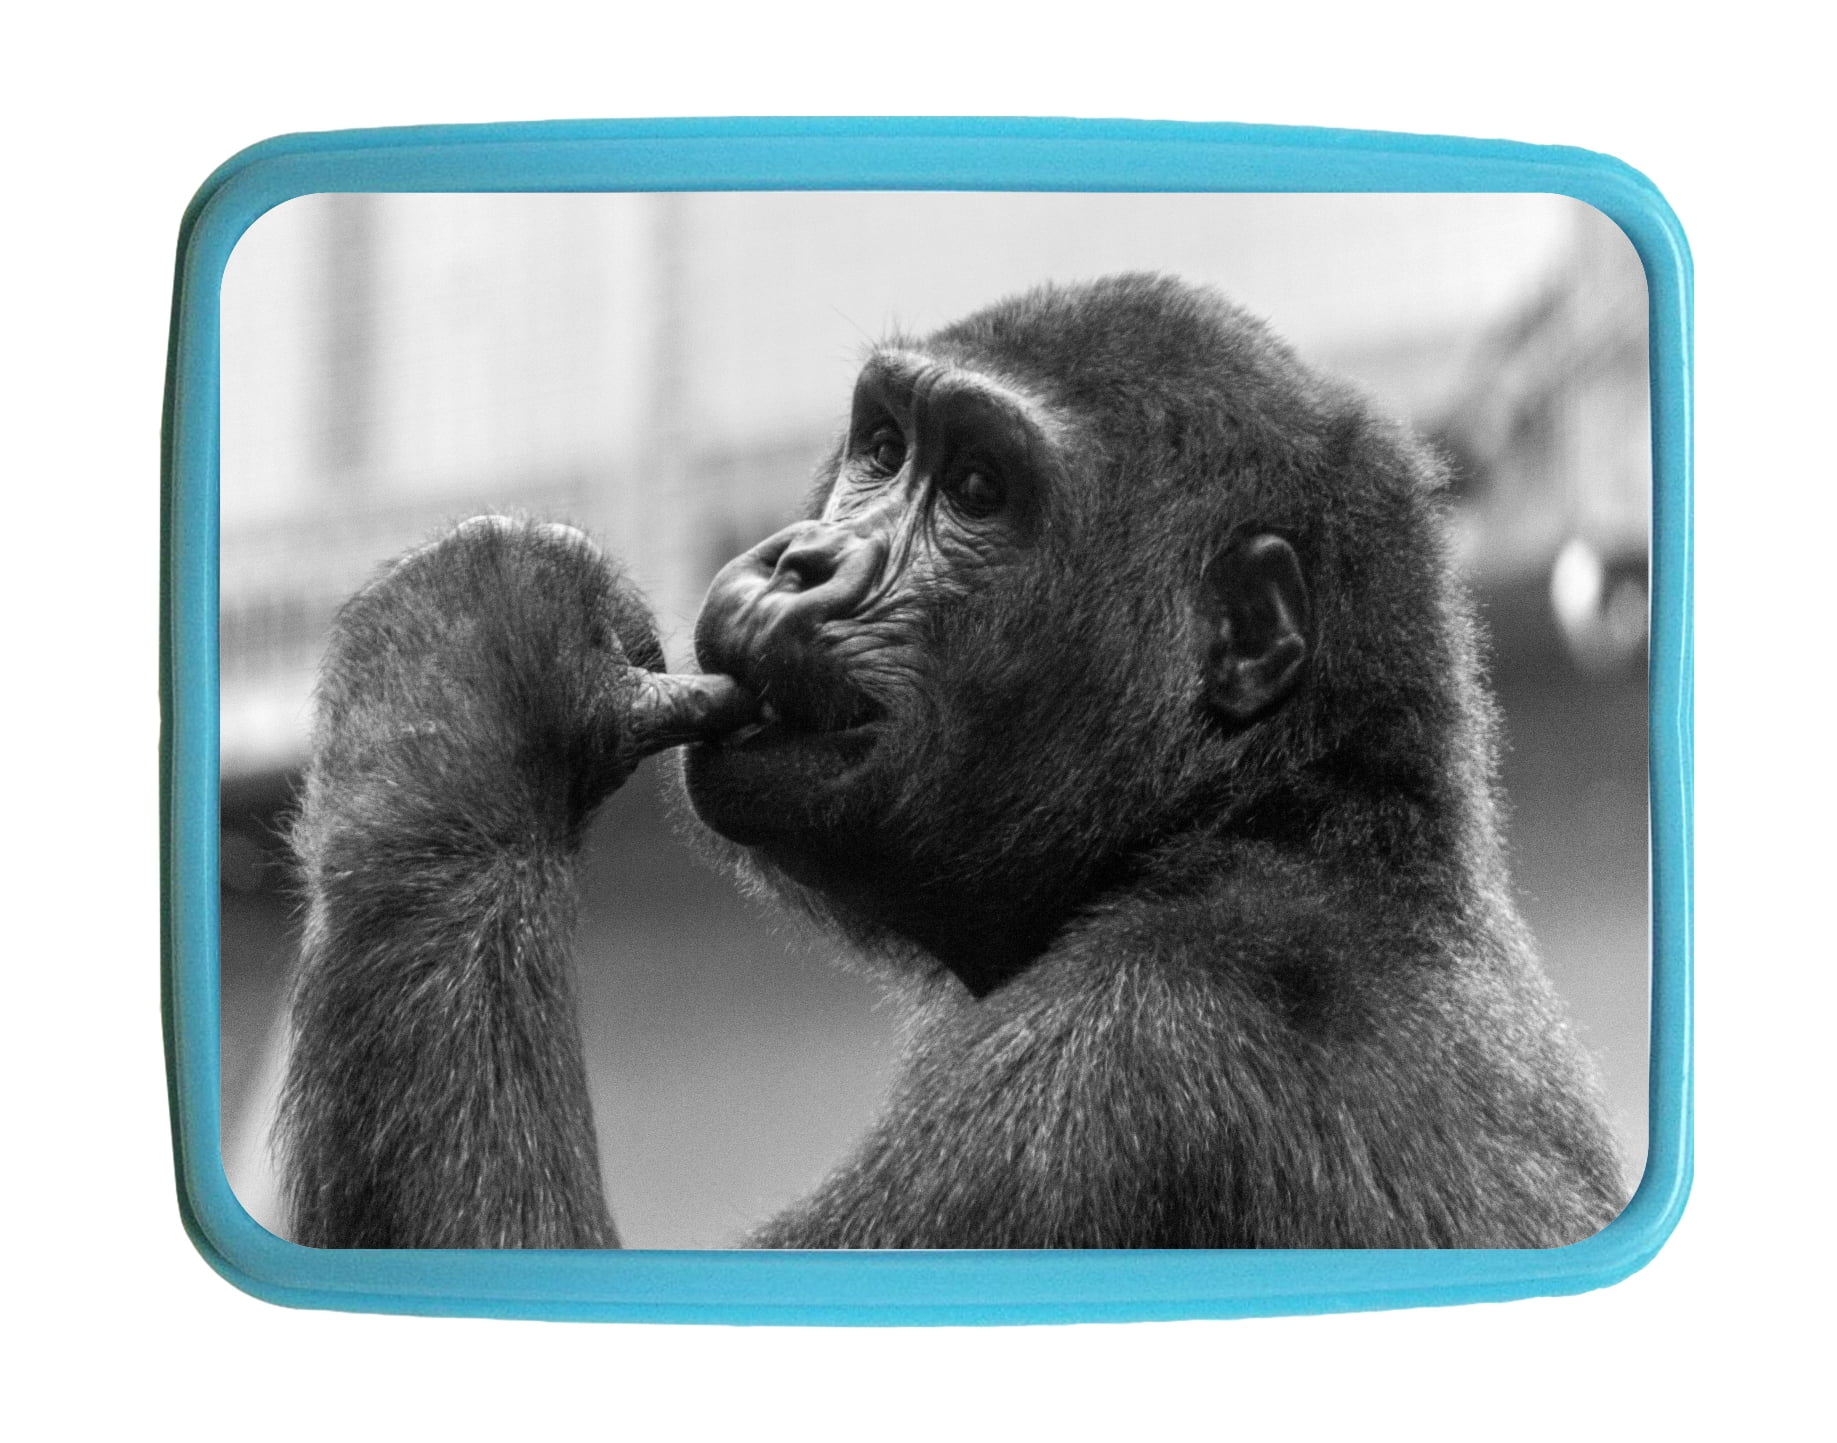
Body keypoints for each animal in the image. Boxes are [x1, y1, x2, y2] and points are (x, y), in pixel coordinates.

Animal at [276, 273, 1628, 1250]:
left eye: (976, 485)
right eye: (879, 448)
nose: (799, 561)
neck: (1275, 805)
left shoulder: (1136, 1061)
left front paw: (469, 676)